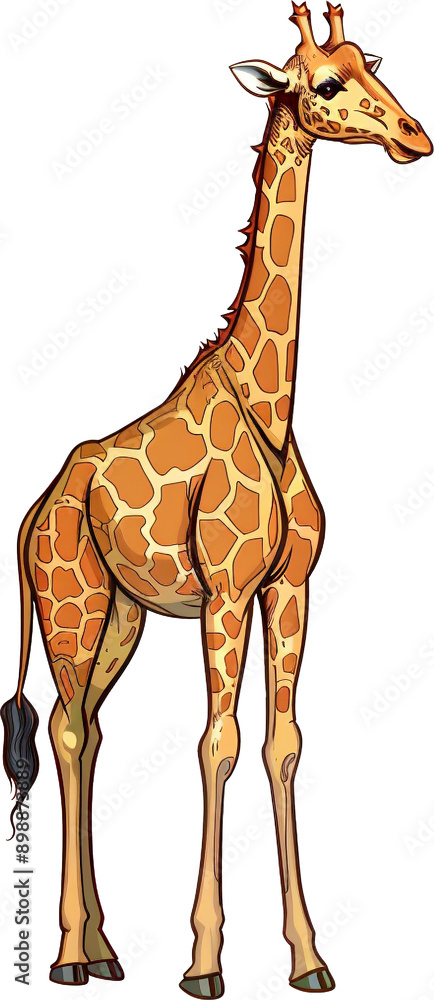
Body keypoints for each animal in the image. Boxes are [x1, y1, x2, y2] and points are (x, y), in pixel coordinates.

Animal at [1, 3, 431, 995]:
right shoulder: (227, 594)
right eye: (326, 84)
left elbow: (282, 742)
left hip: (120, 615)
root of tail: (33, 510)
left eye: (373, 65)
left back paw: (105, 951)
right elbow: (217, 742)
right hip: (69, 606)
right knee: (69, 732)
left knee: (89, 730)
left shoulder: (291, 587)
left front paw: (310, 957)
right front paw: (203, 962)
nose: (414, 135)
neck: (272, 402)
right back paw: (73, 955)